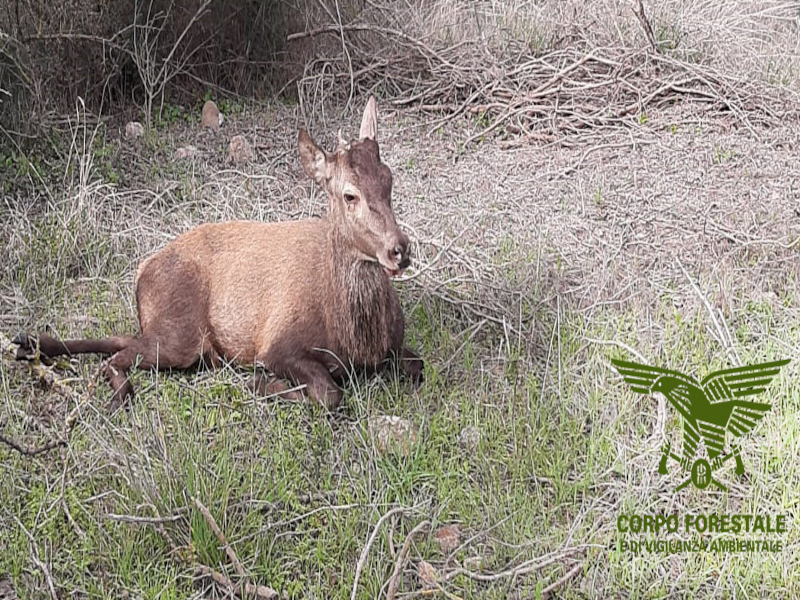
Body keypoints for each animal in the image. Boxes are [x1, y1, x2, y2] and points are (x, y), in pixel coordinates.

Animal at [13, 96, 424, 411]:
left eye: (388, 179)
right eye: (349, 194)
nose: (399, 250)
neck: (355, 339)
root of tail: (141, 275)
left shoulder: (395, 349)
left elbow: (418, 365)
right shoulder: (278, 345)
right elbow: (328, 393)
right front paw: (262, 384)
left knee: (119, 341)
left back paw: (30, 343)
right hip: (180, 335)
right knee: (116, 357)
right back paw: (113, 390)